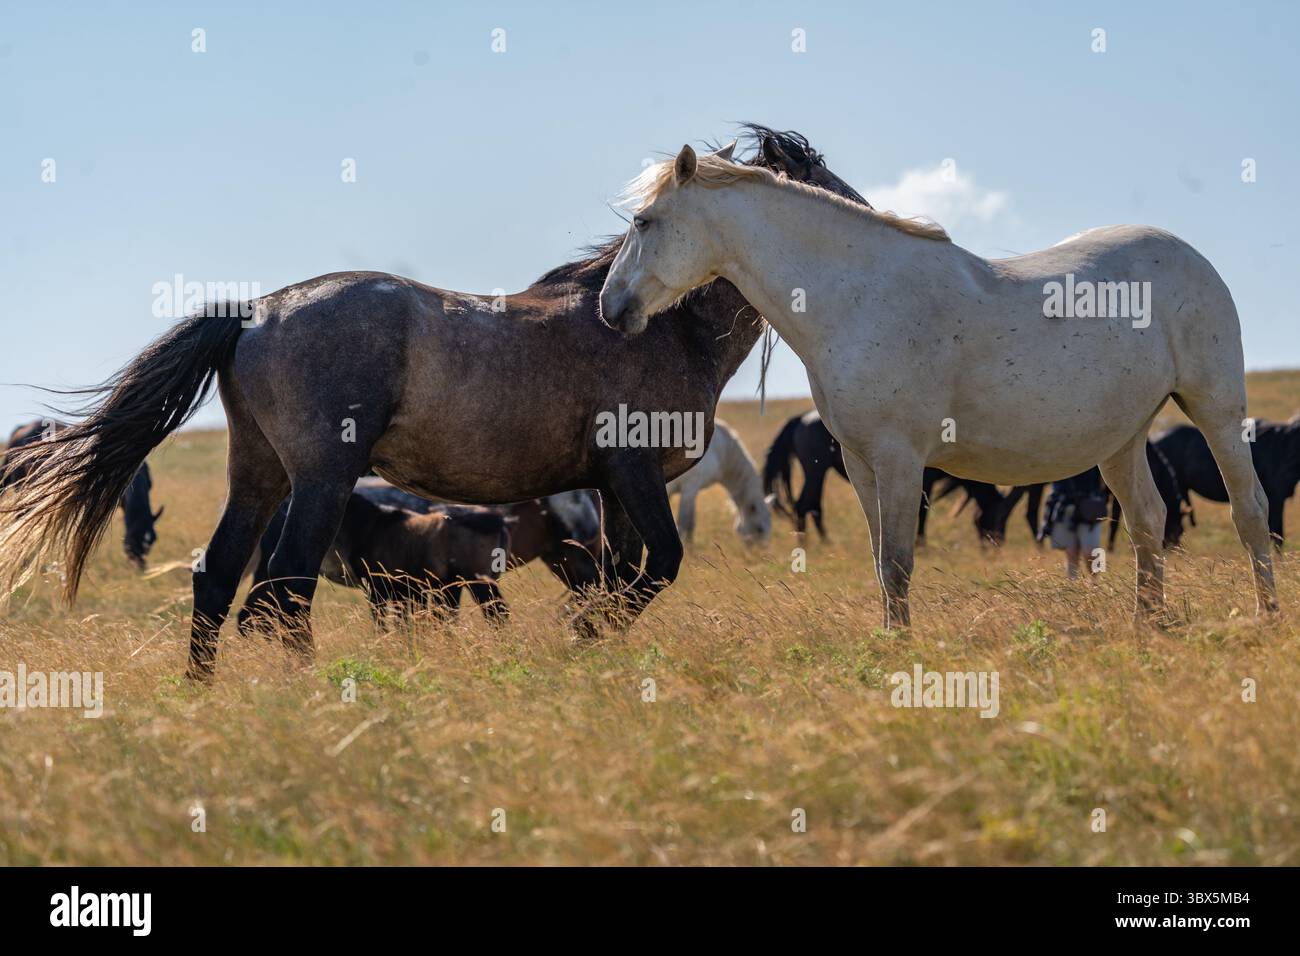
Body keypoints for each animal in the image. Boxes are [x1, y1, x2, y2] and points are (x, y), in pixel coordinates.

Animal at [763, 410, 1007, 544]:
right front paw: (921, 544)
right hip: (816, 470)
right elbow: (923, 512)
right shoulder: (924, 478)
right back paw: (811, 543)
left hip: (816, 471)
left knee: (811, 505)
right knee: (805, 504)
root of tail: (800, 418)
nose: (995, 546)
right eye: (997, 517)